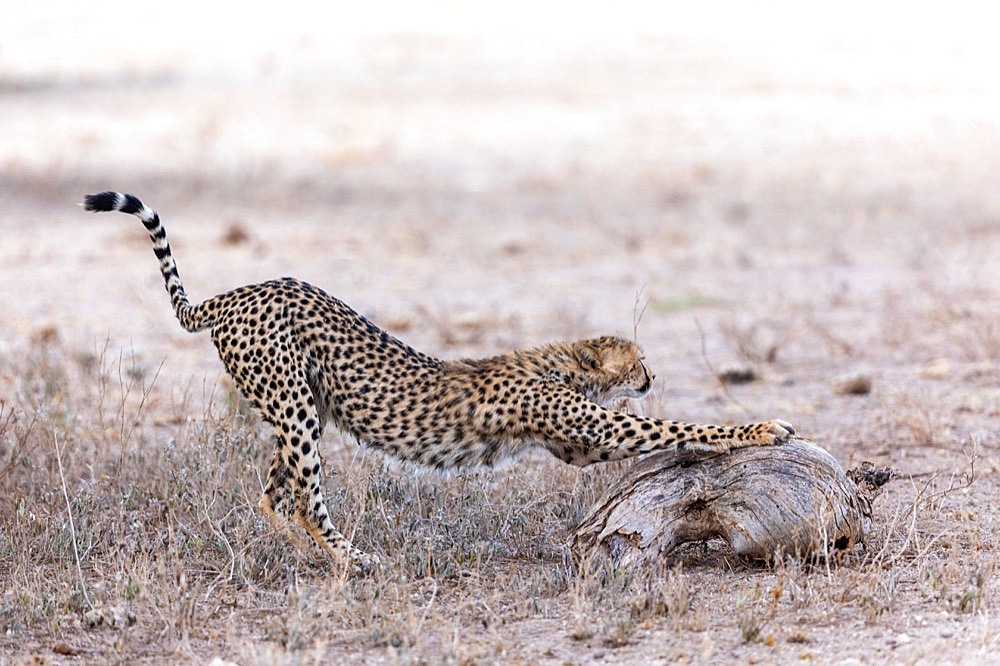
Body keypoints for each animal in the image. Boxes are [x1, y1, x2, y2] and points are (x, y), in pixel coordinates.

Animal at [82, 189, 792, 568]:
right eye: (638, 359)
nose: (651, 372)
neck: (564, 363)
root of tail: (233, 293)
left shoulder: (577, 443)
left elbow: (663, 431)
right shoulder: (593, 424)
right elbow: (675, 424)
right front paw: (764, 428)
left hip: (298, 406)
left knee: (271, 495)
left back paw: (307, 554)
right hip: (295, 407)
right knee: (304, 498)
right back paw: (350, 559)